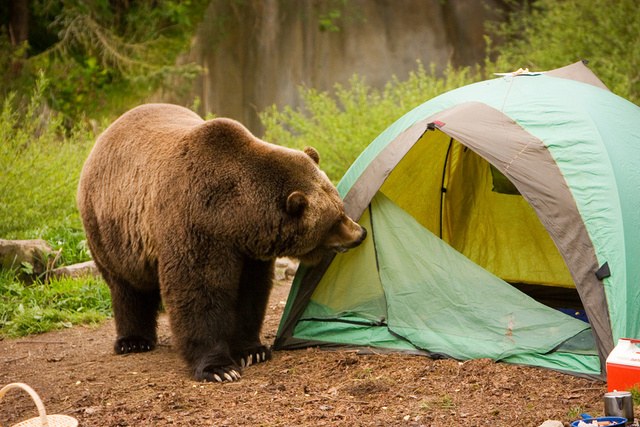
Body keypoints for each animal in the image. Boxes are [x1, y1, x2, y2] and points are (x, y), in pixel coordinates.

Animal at [77, 103, 366, 382]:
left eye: (340, 206)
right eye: (334, 220)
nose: (360, 232)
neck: (236, 216)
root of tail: (107, 132)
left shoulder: (248, 250)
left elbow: (250, 292)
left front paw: (252, 350)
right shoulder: (195, 224)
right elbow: (199, 291)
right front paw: (219, 367)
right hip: (111, 229)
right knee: (126, 286)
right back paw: (133, 341)